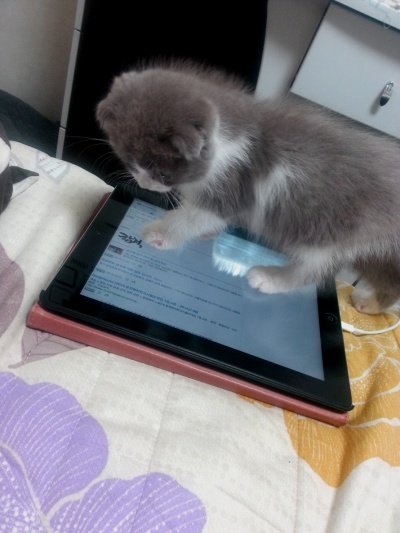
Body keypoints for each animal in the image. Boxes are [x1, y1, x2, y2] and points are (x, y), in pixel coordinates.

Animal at [96, 61, 400, 314]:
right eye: (129, 161)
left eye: (159, 170)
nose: (143, 183)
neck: (230, 136)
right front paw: (207, 233)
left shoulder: (231, 186)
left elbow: (193, 216)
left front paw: (159, 232)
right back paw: (370, 303)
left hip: (336, 232)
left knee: (314, 268)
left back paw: (270, 277)